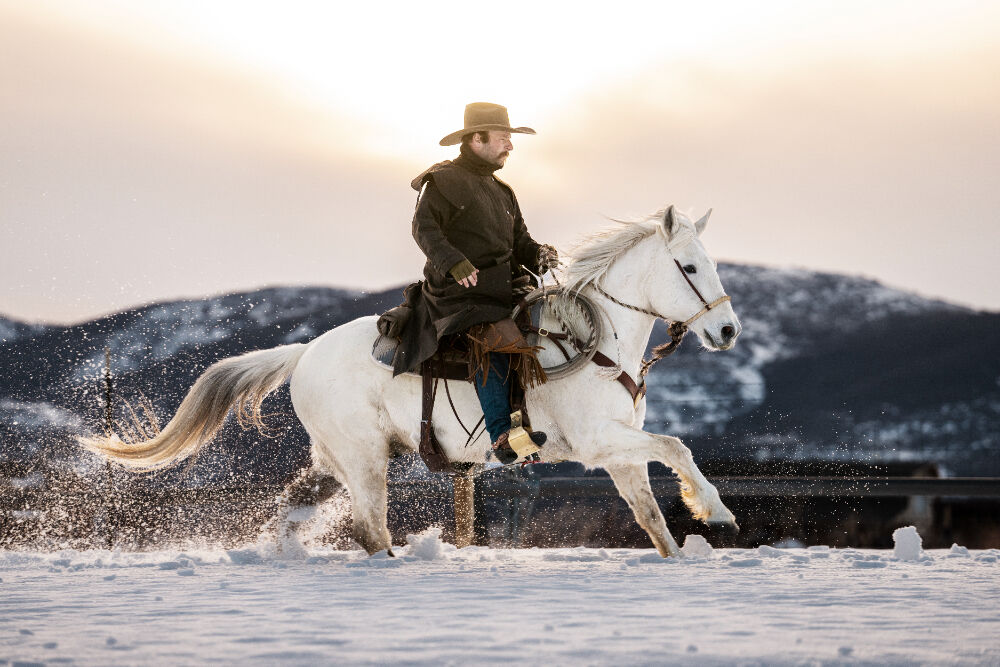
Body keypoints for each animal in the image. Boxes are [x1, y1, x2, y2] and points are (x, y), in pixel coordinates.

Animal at [82, 205, 744, 560]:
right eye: (689, 266)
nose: (728, 330)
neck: (596, 342)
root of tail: (304, 352)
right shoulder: (595, 442)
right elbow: (676, 447)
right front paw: (715, 510)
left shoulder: (619, 451)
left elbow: (650, 513)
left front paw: (682, 547)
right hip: (364, 457)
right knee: (369, 526)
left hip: (340, 458)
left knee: (297, 506)